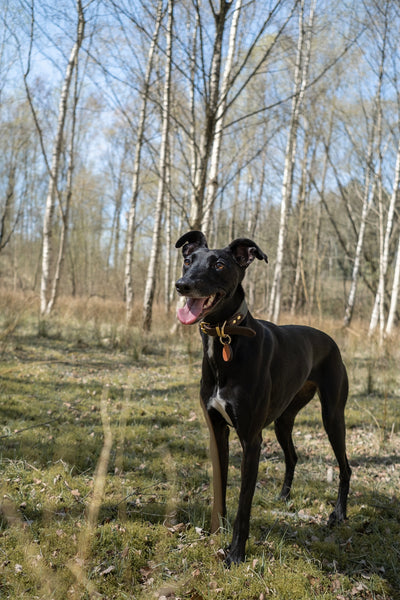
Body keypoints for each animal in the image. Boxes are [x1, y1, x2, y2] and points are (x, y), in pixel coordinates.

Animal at [175, 232, 350, 564]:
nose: (182, 285)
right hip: (283, 419)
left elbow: (245, 503)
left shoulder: (251, 440)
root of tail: (330, 338)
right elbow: (220, 486)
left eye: (219, 264)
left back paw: (338, 514)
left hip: (333, 416)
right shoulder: (217, 430)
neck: (226, 339)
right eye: (188, 260)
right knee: (292, 456)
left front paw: (235, 554)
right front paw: (217, 530)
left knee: (345, 467)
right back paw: (283, 497)